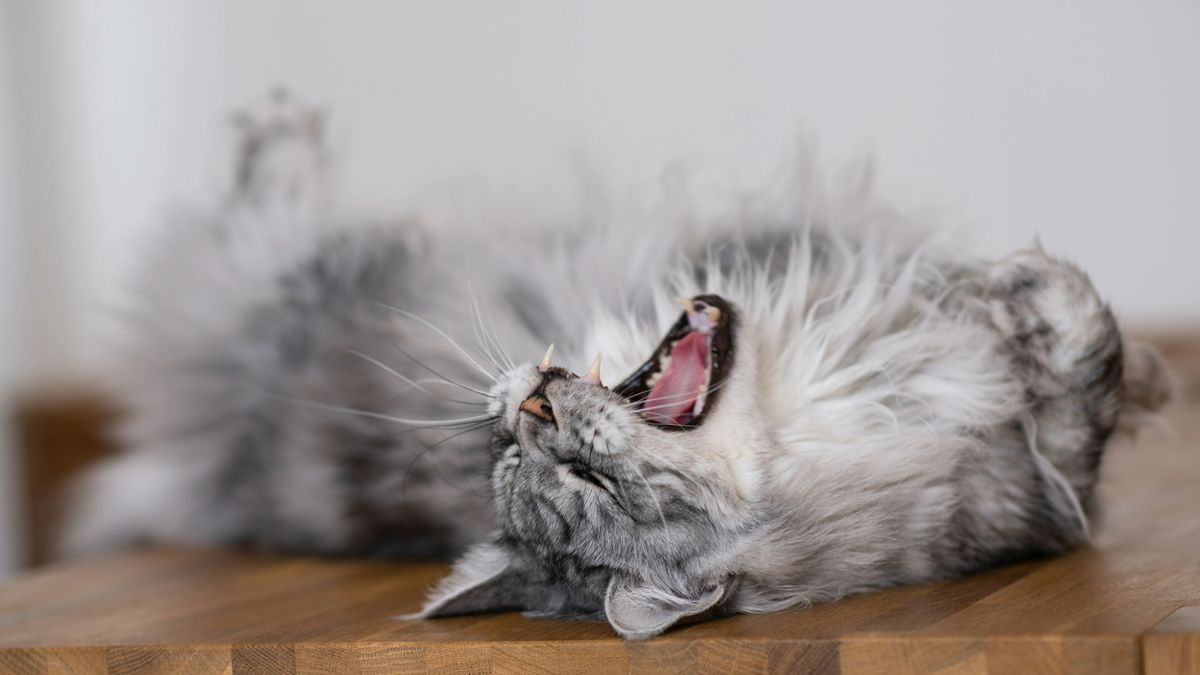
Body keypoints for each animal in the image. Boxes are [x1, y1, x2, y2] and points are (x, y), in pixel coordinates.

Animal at [60, 91, 1166, 638]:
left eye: (516, 454)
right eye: (585, 485)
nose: (531, 413)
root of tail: (216, 469)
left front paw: (994, 290)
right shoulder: (1050, 492)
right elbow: (1087, 374)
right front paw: (1029, 293)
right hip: (275, 287)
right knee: (250, 228)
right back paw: (281, 136)